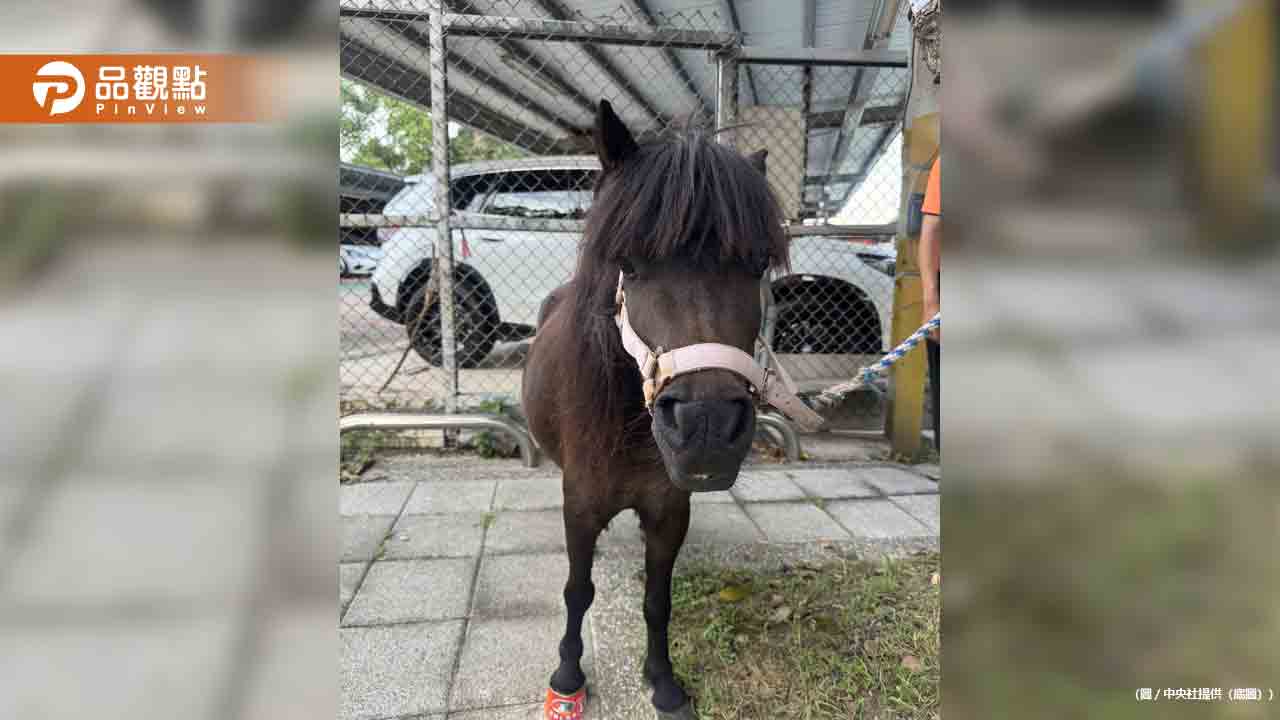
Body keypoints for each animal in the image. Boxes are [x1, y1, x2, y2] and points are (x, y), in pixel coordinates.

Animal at [522, 100, 791, 720]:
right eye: (630, 262)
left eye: (756, 263)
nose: (707, 428)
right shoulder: (580, 504)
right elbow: (578, 590)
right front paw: (568, 677)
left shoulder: (670, 509)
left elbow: (656, 598)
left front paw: (663, 681)